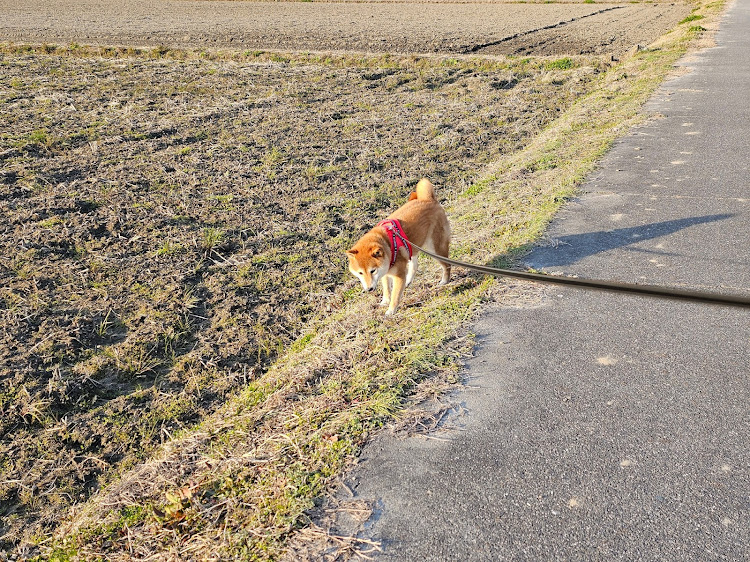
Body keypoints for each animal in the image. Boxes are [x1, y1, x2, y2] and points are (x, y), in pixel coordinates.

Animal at [348, 177, 452, 312]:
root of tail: (428, 199)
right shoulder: (385, 272)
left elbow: (395, 295)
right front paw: (384, 301)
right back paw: (409, 281)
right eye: (360, 273)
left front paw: (391, 310)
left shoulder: (398, 275)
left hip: (435, 248)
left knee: (447, 265)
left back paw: (445, 280)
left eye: (372, 271)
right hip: (413, 247)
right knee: (414, 265)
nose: (369, 289)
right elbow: (387, 288)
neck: (388, 246)